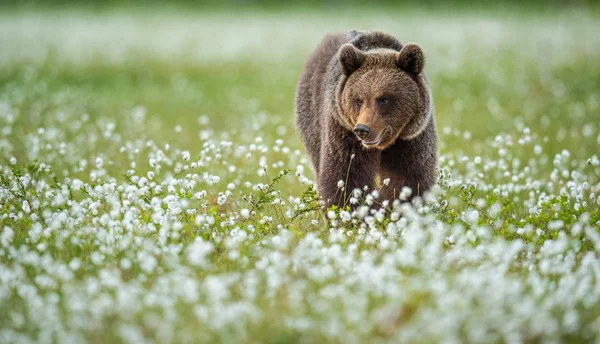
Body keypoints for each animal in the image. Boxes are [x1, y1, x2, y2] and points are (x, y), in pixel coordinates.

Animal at [294, 30, 436, 207]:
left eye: (384, 99)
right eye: (358, 100)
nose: (362, 129)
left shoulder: (411, 138)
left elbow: (409, 177)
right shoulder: (343, 132)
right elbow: (346, 176)